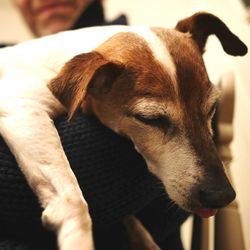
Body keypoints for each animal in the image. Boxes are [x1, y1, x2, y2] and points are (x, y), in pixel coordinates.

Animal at [0, 12, 247, 250]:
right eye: (150, 119)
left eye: (212, 108)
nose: (222, 196)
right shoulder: (22, 107)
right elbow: (73, 201)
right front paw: (78, 240)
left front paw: (143, 239)